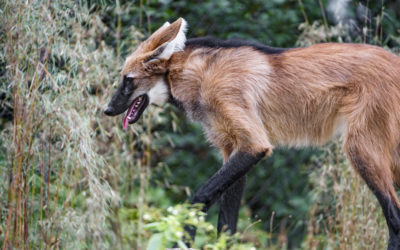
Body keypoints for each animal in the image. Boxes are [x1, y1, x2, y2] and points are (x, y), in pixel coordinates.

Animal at [104, 17, 400, 248]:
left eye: (127, 81)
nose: (107, 110)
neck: (194, 75)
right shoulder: (233, 149)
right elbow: (227, 225)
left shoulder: (253, 144)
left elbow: (200, 197)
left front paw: (183, 237)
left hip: (361, 151)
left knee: (394, 218)